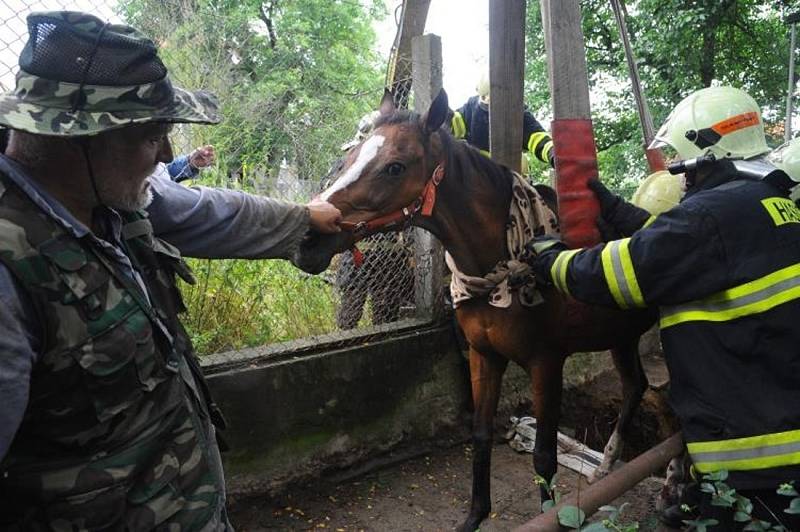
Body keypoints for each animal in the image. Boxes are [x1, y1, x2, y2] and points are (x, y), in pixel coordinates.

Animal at [294, 91, 656, 532]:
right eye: (347, 160)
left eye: (395, 167)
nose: (307, 239)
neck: (496, 268)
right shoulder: (485, 356)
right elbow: (481, 435)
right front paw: (475, 515)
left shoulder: (546, 363)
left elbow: (544, 455)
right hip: (621, 336)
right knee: (636, 385)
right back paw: (606, 463)